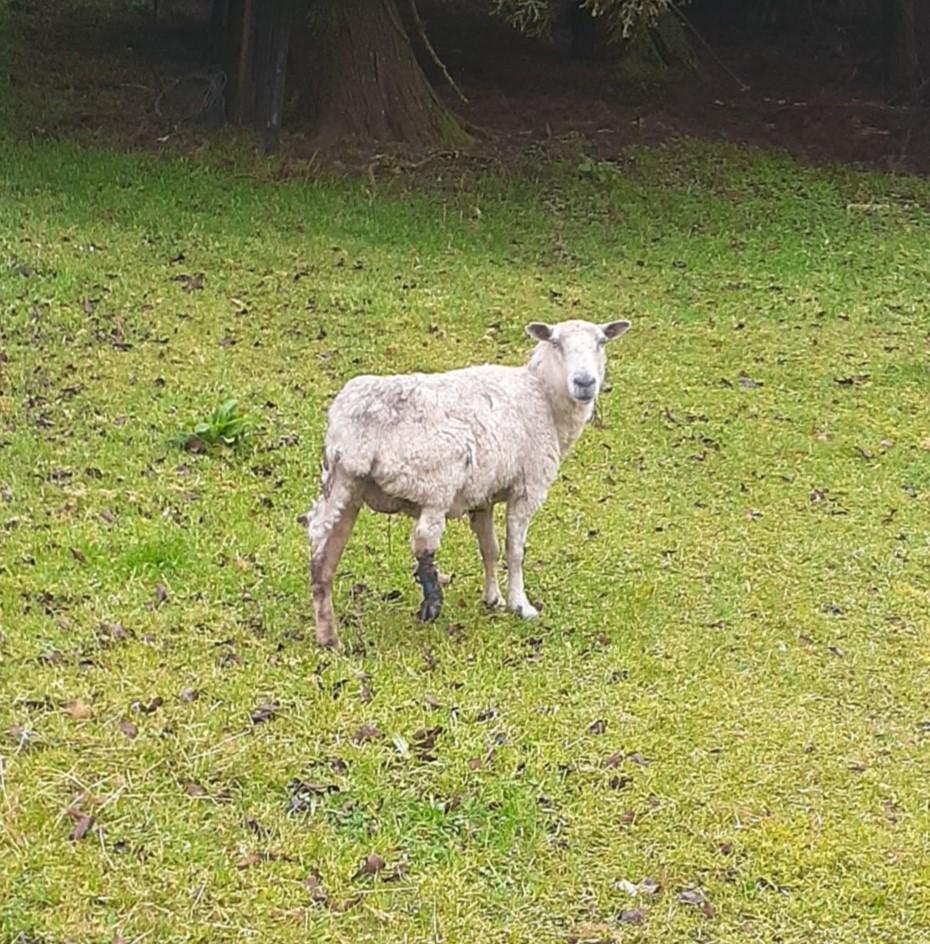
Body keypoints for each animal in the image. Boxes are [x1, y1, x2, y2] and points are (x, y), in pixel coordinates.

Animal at [306, 318, 631, 647]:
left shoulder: (482, 496)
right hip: (436, 478)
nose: (585, 382)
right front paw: (520, 605)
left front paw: (493, 598)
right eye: (555, 343)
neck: (544, 398)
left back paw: (328, 636)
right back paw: (432, 601)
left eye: (601, 342)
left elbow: (490, 548)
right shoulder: (527, 487)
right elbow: (515, 551)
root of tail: (354, 428)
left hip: (343, 483)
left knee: (323, 552)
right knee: (423, 540)